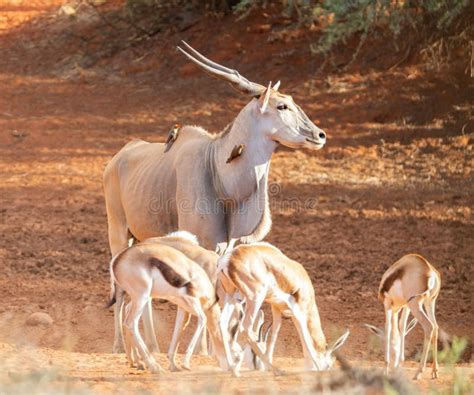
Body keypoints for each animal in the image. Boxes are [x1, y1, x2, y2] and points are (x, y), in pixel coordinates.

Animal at [103, 41, 326, 354]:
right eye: (281, 105)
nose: (319, 135)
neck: (219, 172)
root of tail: (118, 157)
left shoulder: (225, 247)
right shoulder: (201, 244)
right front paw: (205, 352)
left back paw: (153, 345)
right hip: (119, 232)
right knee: (120, 285)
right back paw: (119, 346)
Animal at [107, 241, 235, 374]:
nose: (232, 368)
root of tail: (117, 260)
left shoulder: (183, 307)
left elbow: (179, 328)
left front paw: (173, 365)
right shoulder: (193, 300)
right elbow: (202, 319)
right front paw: (185, 364)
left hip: (140, 298)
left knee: (127, 313)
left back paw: (136, 362)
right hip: (142, 297)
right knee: (130, 323)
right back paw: (154, 367)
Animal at [218, 243, 348, 376]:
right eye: (329, 365)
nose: (324, 368)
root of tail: (229, 258)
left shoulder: (276, 307)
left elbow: (275, 332)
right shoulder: (298, 310)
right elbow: (305, 336)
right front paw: (316, 367)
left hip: (232, 296)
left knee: (223, 322)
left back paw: (233, 369)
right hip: (255, 298)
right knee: (246, 327)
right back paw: (277, 370)